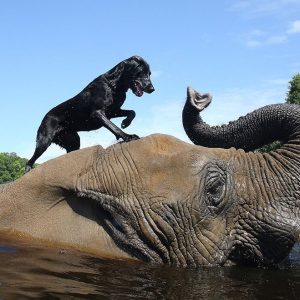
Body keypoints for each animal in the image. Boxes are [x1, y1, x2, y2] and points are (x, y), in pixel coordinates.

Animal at [25, 56, 155, 172]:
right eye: (140, 72)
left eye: (149, 73)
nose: (152, 89)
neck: (113, 85)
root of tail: (44, 117)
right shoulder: (98, 113)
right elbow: (114, 127)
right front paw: (127, 136)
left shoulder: (113, 111)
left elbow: (132, 112)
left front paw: (125, 123)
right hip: (44, 141)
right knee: (30, 160)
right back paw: (28, 170)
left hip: (74, 140)